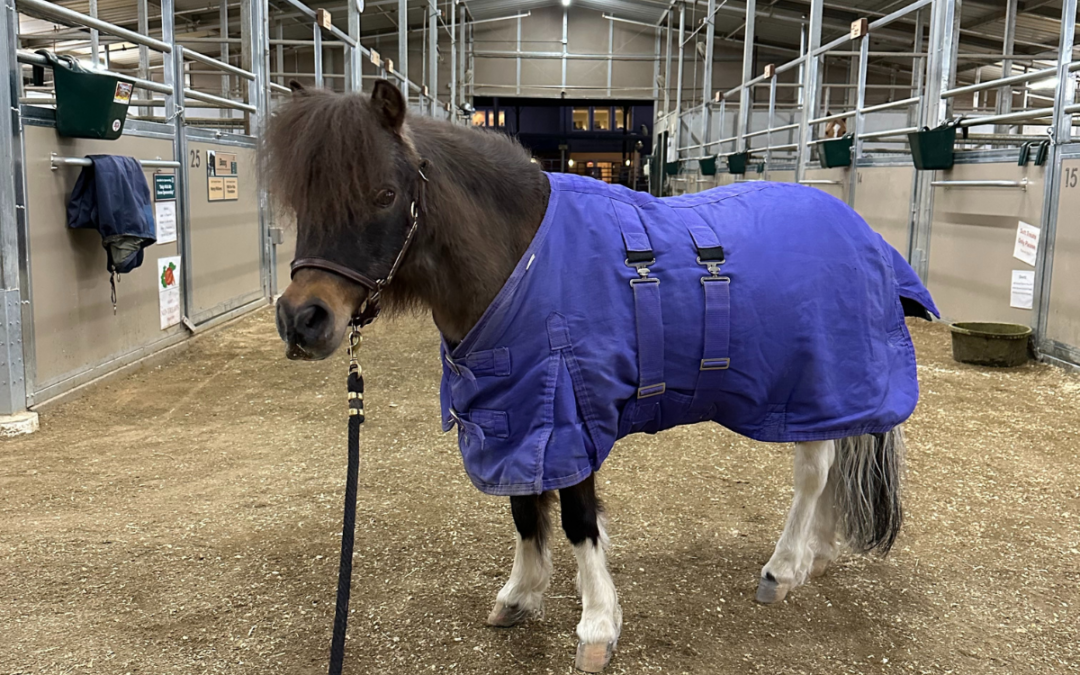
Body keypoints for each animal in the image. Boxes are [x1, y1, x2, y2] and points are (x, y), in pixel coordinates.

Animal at [267, 80, 937, 673]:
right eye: (303, 200)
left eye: (383, 194)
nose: (302, 319)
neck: (521, 260)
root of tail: (861, 232)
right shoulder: (517, 413)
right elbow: (524, 506)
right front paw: (521, 594)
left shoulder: (569, 409)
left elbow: (576, 518)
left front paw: (596, 625)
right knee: (832, 466)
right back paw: (817, 556)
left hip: (820, 382)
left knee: (813, 473)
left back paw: (783, 567)